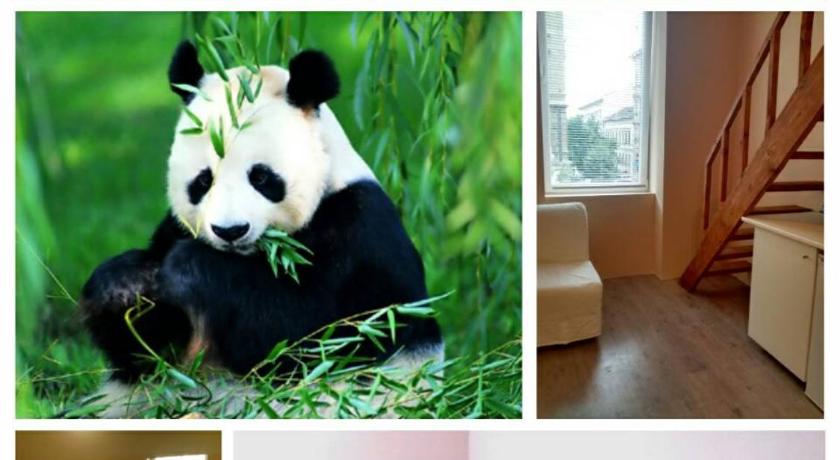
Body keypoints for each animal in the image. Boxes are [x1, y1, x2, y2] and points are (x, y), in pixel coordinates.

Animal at [79, 41, 443, 415]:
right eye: (203, 181)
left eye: (262, 177)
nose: (230, 231)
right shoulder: (175, 228)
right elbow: (148, 352)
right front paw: (124, 285)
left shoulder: (362, 235)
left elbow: (308, 334)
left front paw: (190, 267)